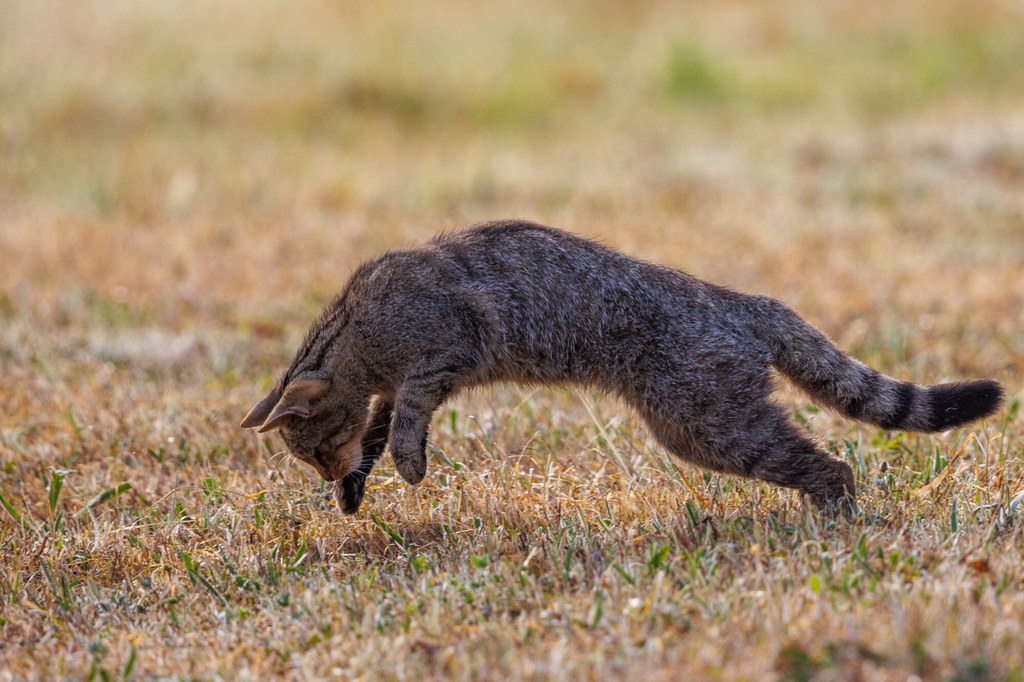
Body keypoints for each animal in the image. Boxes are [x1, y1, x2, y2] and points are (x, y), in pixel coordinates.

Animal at [237, 220, 999, 512]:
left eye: (314, 450)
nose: (325, 476)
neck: (358, 328)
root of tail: (744, 300)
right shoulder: (405, 382)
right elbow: (384, 423)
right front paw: (359, 483)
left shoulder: (448, 349)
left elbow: (404, 418)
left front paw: (401, 463)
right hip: (698, 427)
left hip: (710, 424)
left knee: (832, 467)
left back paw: (836, 519)